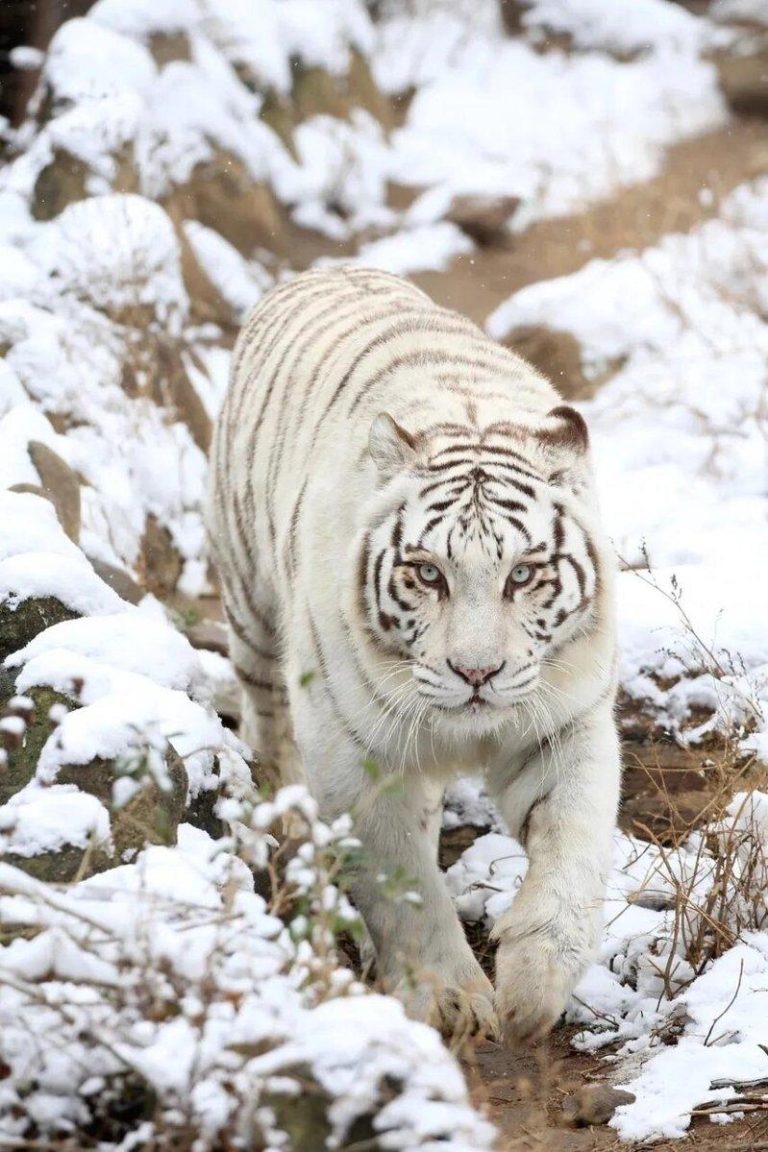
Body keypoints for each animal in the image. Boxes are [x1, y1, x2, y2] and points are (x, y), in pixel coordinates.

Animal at [208, 266, 620, 1040]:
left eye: (525, 574)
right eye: (429, 574)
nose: (477, 672)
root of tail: (327, 269)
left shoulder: (565, 724)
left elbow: (573, 847)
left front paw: (534, 985)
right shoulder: (353, 752)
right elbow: (401, 885)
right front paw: (453, 1002)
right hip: (249, 597)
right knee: (264, 711)